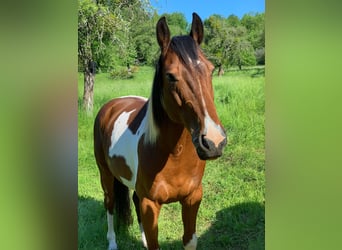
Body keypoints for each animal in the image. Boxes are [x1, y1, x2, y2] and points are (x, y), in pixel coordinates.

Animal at [93, 12, 227, 249]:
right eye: (171, 76)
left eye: (211, 70)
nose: (213, 142)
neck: (173, 154)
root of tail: (110, 106)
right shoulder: (151, 204)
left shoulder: (192, 198)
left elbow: (188, 240)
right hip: (105, 174)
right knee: (109, 203)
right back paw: (112, 243)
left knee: (133, 199)